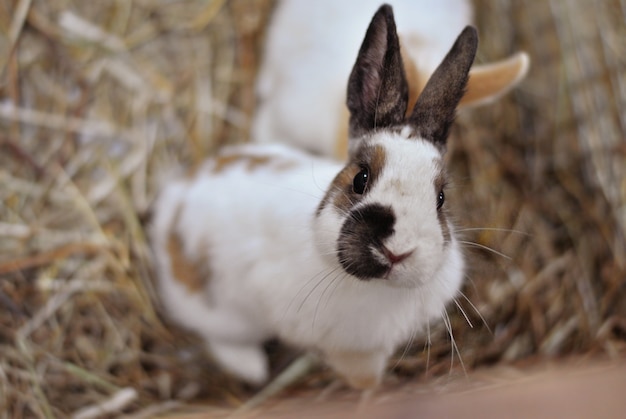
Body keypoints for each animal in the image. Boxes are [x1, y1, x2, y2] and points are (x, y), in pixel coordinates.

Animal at [150, 4, 472, 390]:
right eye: (360, 179)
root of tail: (172, 201)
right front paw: (371, 389)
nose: (398, 251)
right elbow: (364, 378)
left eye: (440, 197)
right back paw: (251, 368)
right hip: (226, 317)